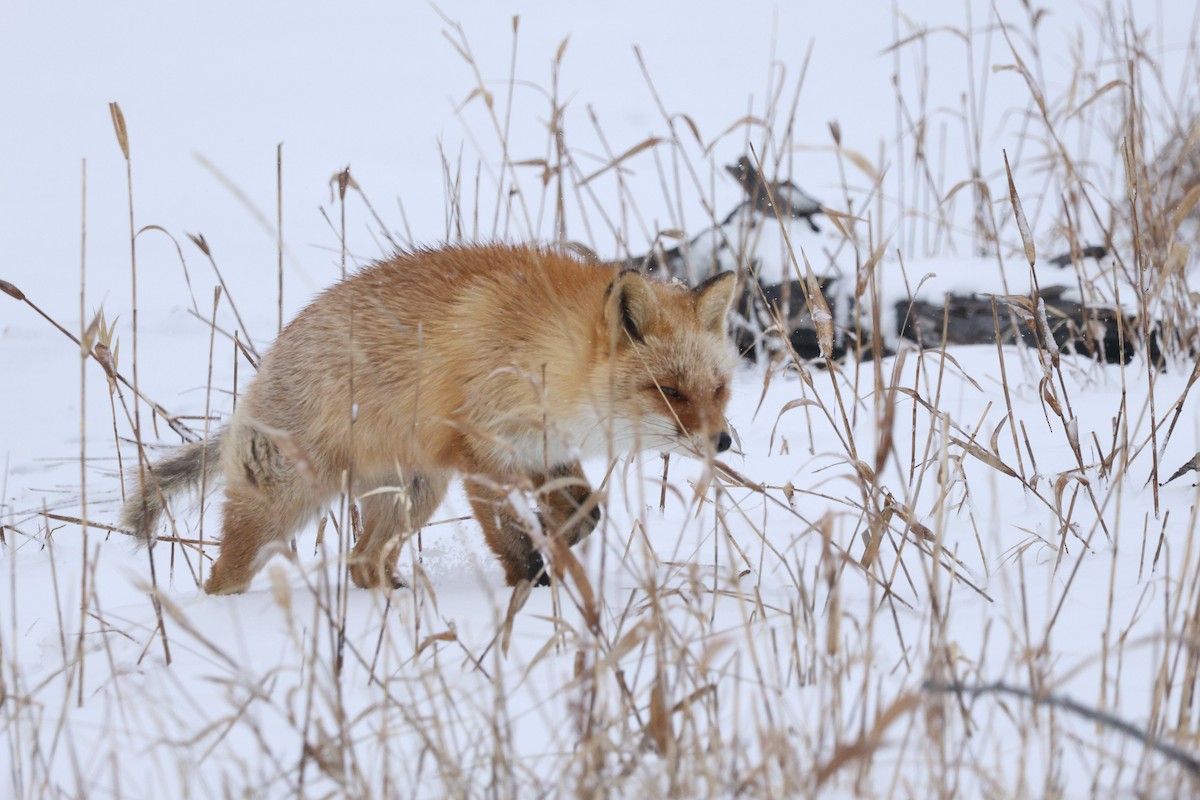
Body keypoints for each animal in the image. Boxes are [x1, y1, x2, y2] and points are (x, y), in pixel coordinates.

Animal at [120, 243, 737, 594]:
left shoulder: (542, 449)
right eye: (669, 392)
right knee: (225, 576)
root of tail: (259, 375)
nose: (723, 441)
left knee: (361, 561)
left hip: (412, 496)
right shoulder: (480, 449)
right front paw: (530, 592)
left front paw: (559, 548)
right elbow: (512, 539)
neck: (547, 354)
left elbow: (586, 515)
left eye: (718, 389)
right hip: (286, 505)